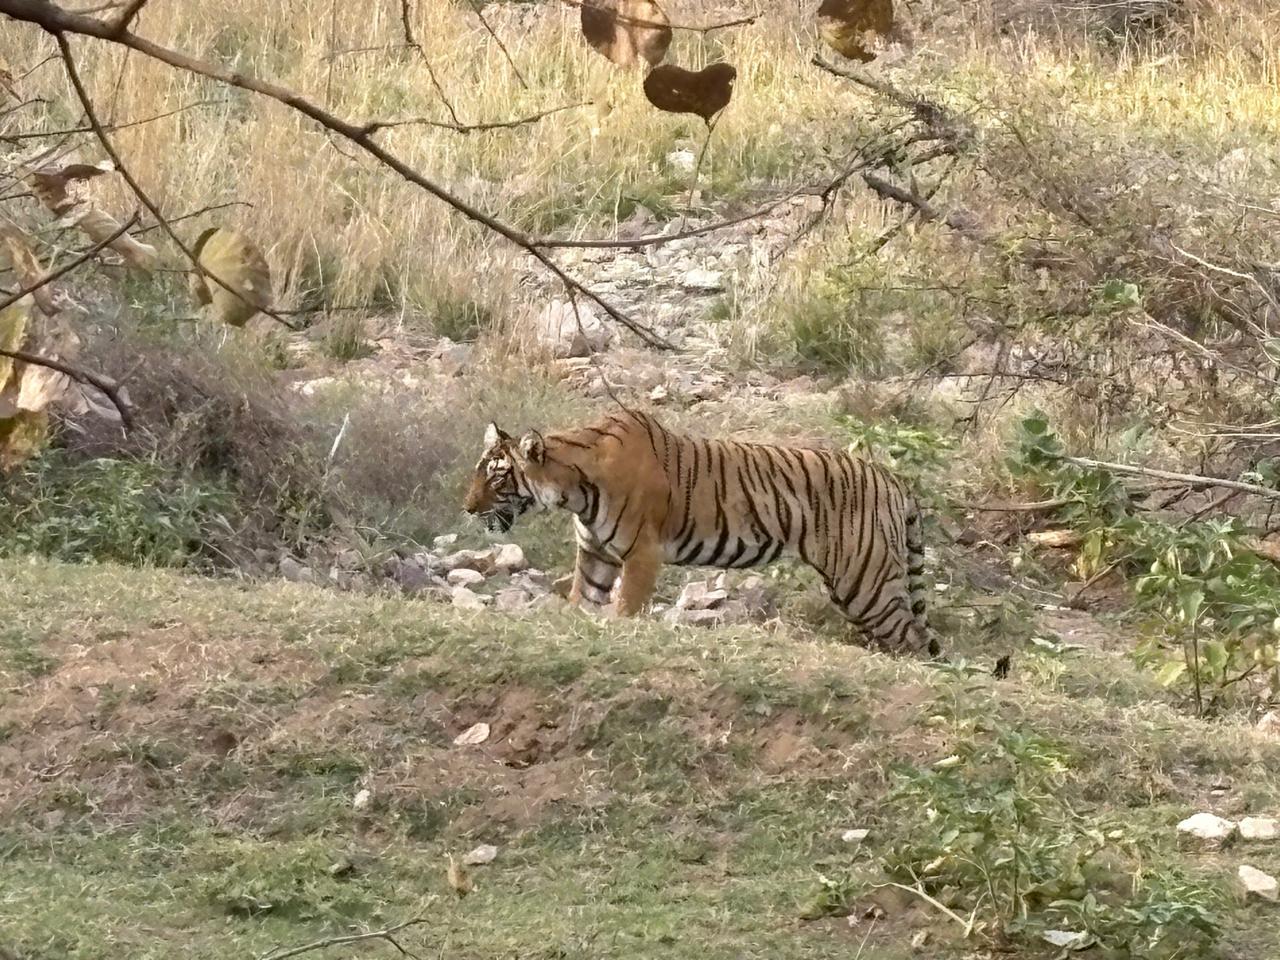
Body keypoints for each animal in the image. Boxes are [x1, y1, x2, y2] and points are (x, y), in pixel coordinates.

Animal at [462, 408, 935, 656]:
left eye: (498, 477)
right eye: (478, 471)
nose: (466, 509)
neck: (574, 490)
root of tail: (894, 480)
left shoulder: (641, 554)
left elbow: (626, 607)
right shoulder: (596, 553)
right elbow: (584, 599)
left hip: (865, 581)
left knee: (912, 637)